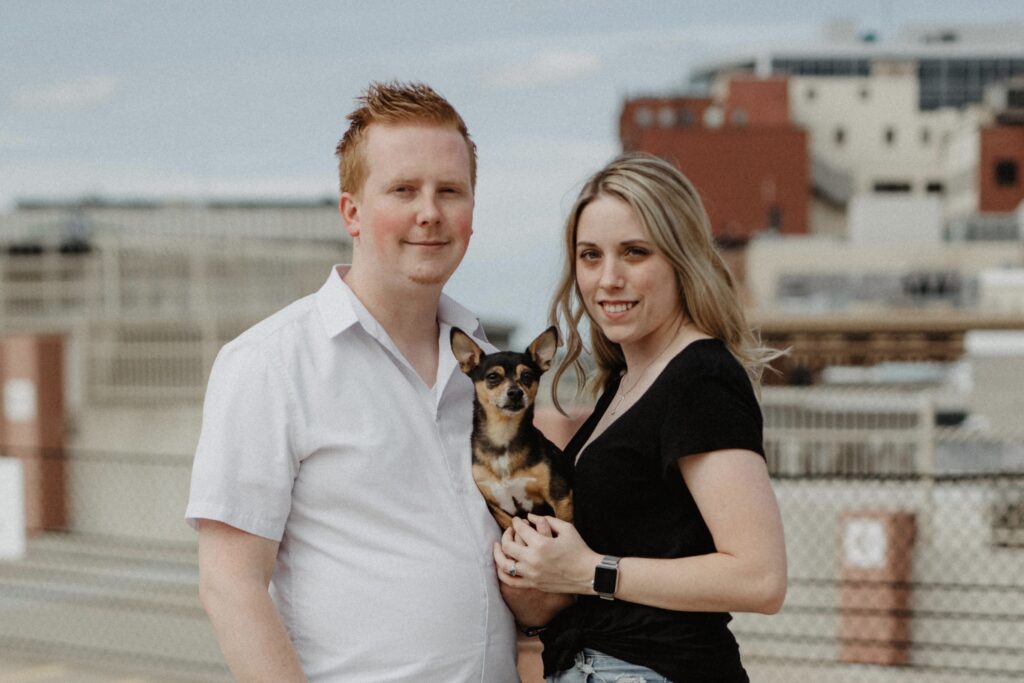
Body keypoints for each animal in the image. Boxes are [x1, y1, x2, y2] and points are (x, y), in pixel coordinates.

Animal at [452, 327, 573, 532]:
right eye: (493, 376)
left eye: (527, 376)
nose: (516, 392)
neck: (503, 434)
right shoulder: (495, 506)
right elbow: (513, 528)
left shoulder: (560, 496)